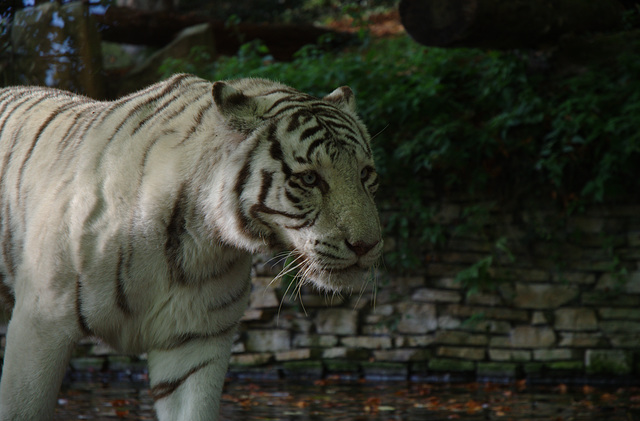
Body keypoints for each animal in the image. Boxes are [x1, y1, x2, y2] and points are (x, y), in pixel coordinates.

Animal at [0, 75, 382, 420]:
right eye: (309, 178)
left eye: (365, 174)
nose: (368, 245)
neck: (200, 238)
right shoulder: (41, 323)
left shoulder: (195, 341)